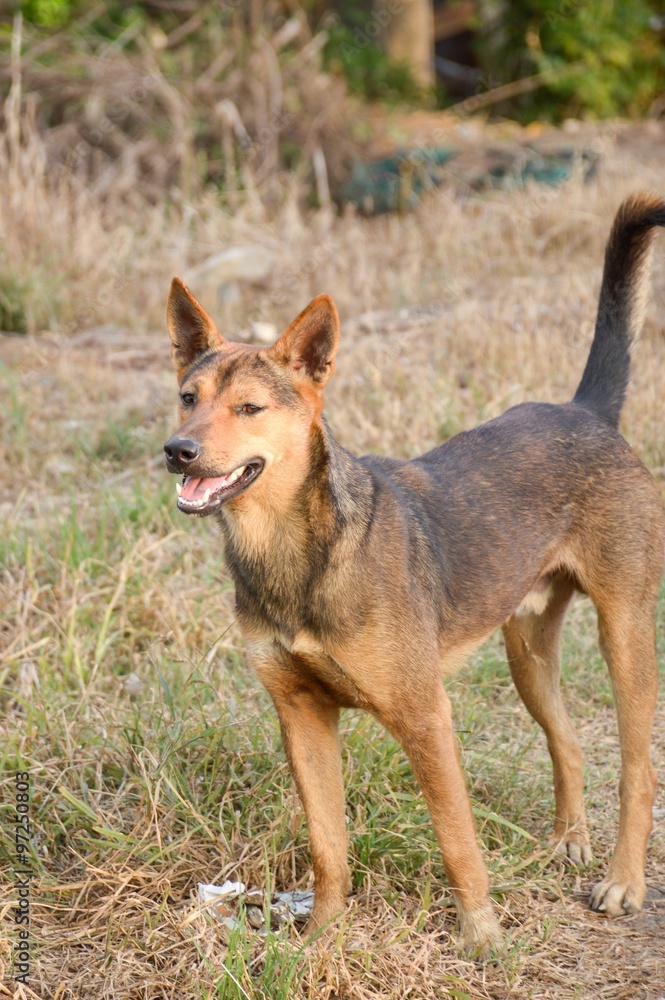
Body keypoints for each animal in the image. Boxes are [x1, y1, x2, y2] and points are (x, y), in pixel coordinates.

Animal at [162, 191, 664, 948]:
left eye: (249, 407)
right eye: (188, 397)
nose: (177, 451)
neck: (295, 550)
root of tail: (586, 412)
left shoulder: (425, 714)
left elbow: (457, 839)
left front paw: (482, 938)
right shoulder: (300, 715)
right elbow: (327, 846)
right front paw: (321, 939)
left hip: (624, 630)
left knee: (637, 765)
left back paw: (622, 880)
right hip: (527, 651)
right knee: (568, 739)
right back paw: (569, 840)